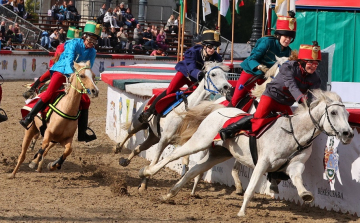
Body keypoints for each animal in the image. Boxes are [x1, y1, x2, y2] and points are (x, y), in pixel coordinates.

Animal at [139, 89, 352, 216]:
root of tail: (216, 109)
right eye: (333, 113)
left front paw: (305, 194)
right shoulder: (263, 163)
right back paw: (147, 172)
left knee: (193, 171)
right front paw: (242, 212)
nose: (348, 133)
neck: (292, 132)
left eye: (347, 114)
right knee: (173, 156)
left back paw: (169, 194)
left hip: (219, 154)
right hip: (200, 141)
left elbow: (299, 180)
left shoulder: (295, 165)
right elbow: (249, 189)